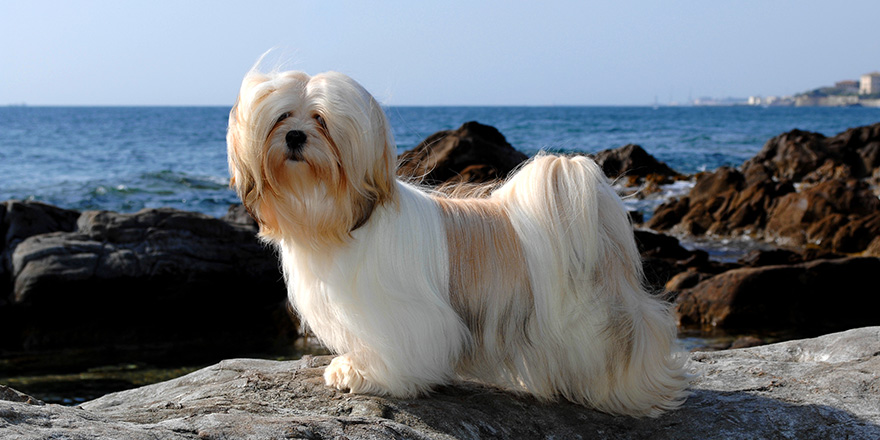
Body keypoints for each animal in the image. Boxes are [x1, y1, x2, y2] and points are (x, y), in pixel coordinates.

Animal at [225, 66, 688, 416]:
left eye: (320, 120)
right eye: (282, 117)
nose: (296, 136)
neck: (333, 216)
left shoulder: (403, 315)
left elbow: (398, 349)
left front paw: (368, 376)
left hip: (587, 318)